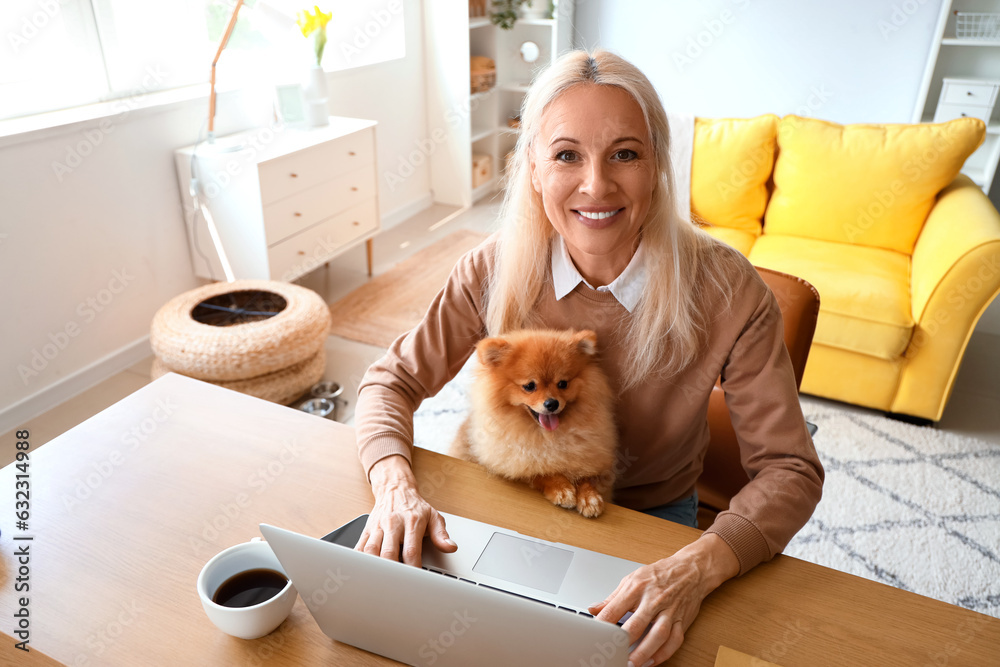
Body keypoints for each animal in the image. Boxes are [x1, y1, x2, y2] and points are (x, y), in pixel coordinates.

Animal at [452, 332, 616, 520]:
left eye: (563, 384)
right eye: (530, 386)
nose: (552, 403)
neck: (547, 436)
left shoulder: (586, 459)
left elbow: (586, 476)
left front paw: (590, 497)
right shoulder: (511, 461)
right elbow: (539, 472)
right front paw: (561, 488)